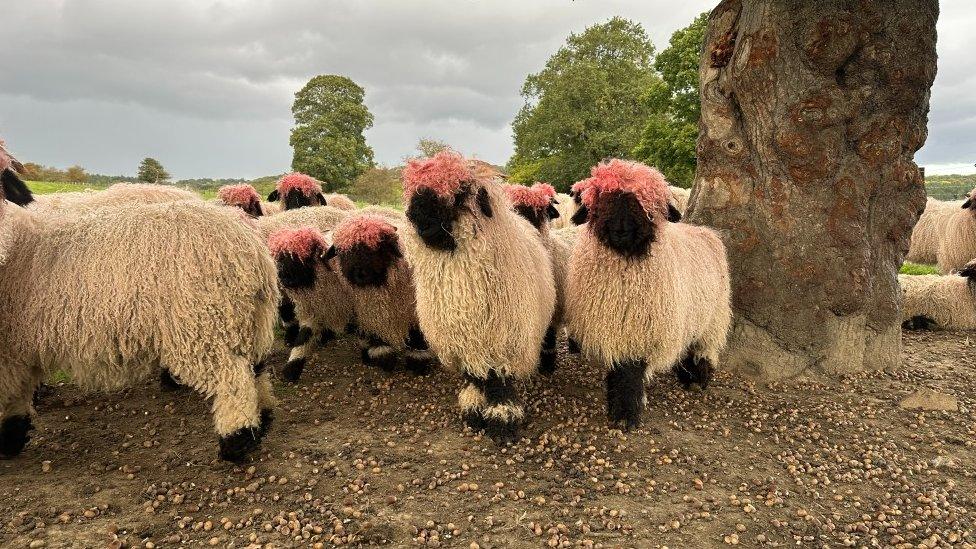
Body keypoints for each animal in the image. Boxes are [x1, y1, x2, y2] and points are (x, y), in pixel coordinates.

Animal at [0, 173, 282, 460]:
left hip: (204, 323)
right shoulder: (17, 350)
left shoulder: (10, 351)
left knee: (232, 379)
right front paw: (12, 436)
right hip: (247, 319)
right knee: (256, 369)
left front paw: (9, 439)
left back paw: (236, 441)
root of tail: (251, 252)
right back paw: (264, 419)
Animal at [266, 225, 354, 378]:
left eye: (305, 257)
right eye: (280, 257)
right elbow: (305, 335)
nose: (285, 279)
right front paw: (292, 367)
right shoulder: (312, 307)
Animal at [326, 212, 436, 374]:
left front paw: (418, 362)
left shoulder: (413, 312)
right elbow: (377, 336)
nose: (359, 274)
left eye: (377, 247)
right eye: (342, 251)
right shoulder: (372, 312)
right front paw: (384, 358)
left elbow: (417, 336)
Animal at [396, 150, 552, 440]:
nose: (418, 217)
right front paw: (473, 406)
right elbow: (475, 375)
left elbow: (499, 379)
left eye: (459, 191)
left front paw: (502, 418)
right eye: (412, 189)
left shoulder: (502, 338)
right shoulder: (462, 336)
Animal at [560, 157, 728, 428]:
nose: (620, 229)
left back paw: (698, 379)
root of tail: (706, 231)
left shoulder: (640, 328)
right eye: (603, 198)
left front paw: (626, 415)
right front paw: (616, 407)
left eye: (643, 201)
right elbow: (617, 369)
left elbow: (630, 372)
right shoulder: (614, 326)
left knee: (703, 346)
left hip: (714, 316)